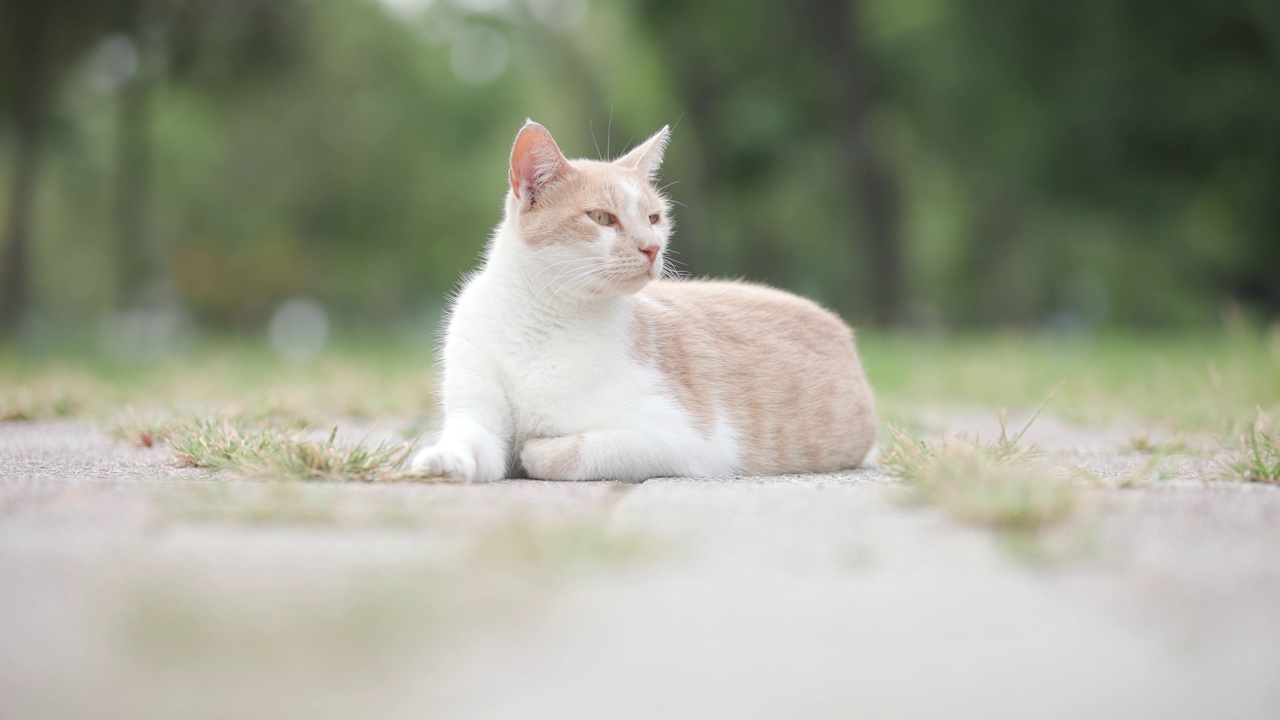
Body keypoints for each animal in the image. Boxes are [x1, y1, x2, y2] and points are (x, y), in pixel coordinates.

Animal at [412, 119, 880, 481]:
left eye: (654, 218)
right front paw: (442, 459)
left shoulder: (692, 441)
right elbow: (471, 440)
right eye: (602, 217)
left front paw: (533, 450)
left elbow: (560, 451)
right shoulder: (478, 415)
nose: (652, 247)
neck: (540, 321)